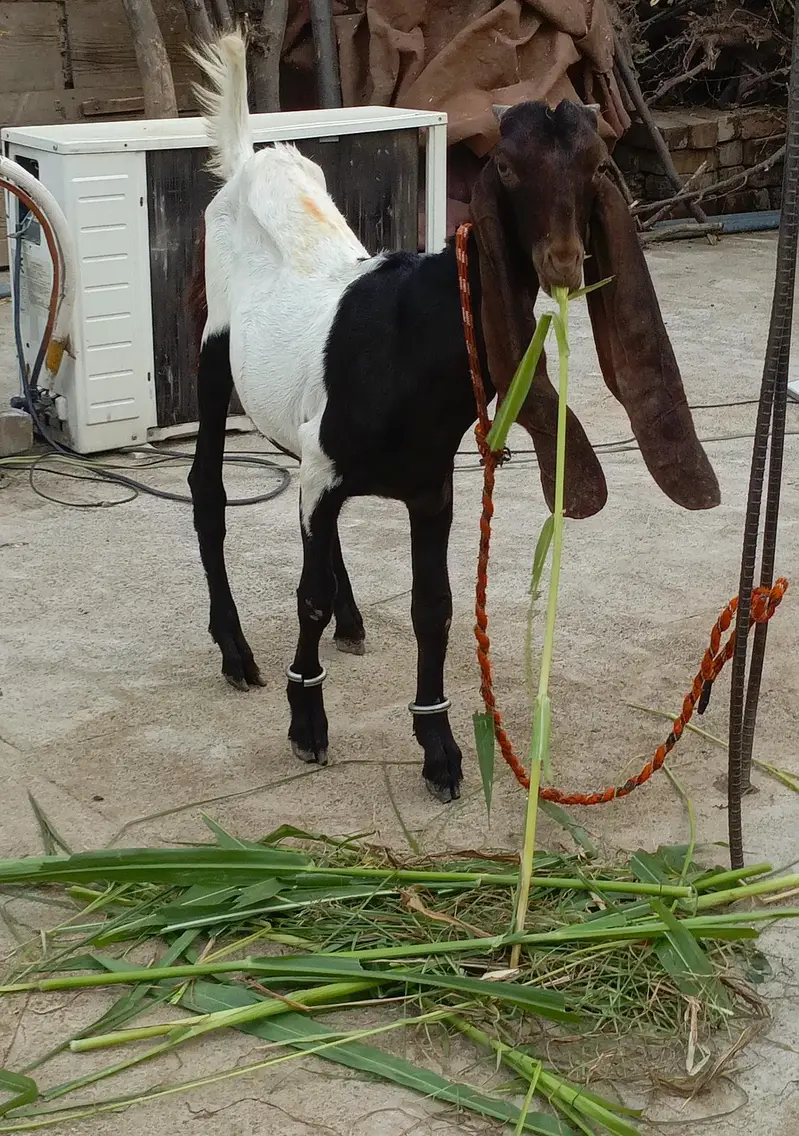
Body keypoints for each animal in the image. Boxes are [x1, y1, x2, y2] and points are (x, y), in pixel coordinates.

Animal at [188, 31, 720, 802]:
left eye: (595, 165)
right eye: (506, 165)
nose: (564, 263)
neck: (408, 335)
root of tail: (249, 160)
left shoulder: (428, 488)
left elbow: (432, 608)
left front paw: (438, 748)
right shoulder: (326, 472)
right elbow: (308, 596)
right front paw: (307, 722)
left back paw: (350, 621)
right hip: (212, 345)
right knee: (206, 492)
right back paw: (235, 652)